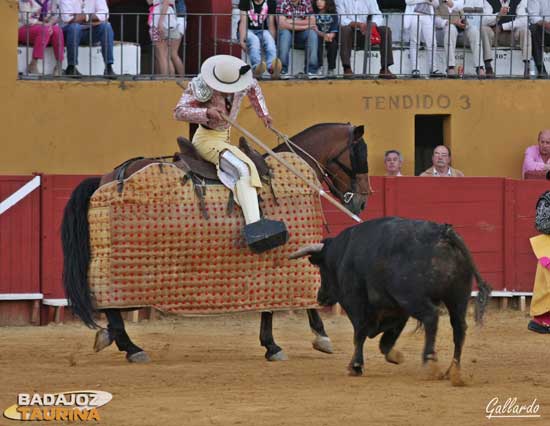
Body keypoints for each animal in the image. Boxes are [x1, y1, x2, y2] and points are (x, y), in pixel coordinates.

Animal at [61, 121, 370, 362]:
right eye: (359, 155)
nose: (362, 201)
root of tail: (107, 177)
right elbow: (304, 296)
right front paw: (319, 337)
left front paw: (271, 344)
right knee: (108, 299)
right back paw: (131, 347)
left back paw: (111, 337)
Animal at [292, 216, 494, 386]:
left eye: (322, 268)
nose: (320, 296)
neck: (342, 254)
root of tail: (444, 233)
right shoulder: (397, 310)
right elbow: (386, 339)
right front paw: (395, 355)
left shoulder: (355, 302)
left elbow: (360, 333)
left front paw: (356, 366)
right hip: (457, 297)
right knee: (459, 328)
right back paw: (453, 371)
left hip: (412, 298)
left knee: (431, 317)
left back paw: (429, 363)